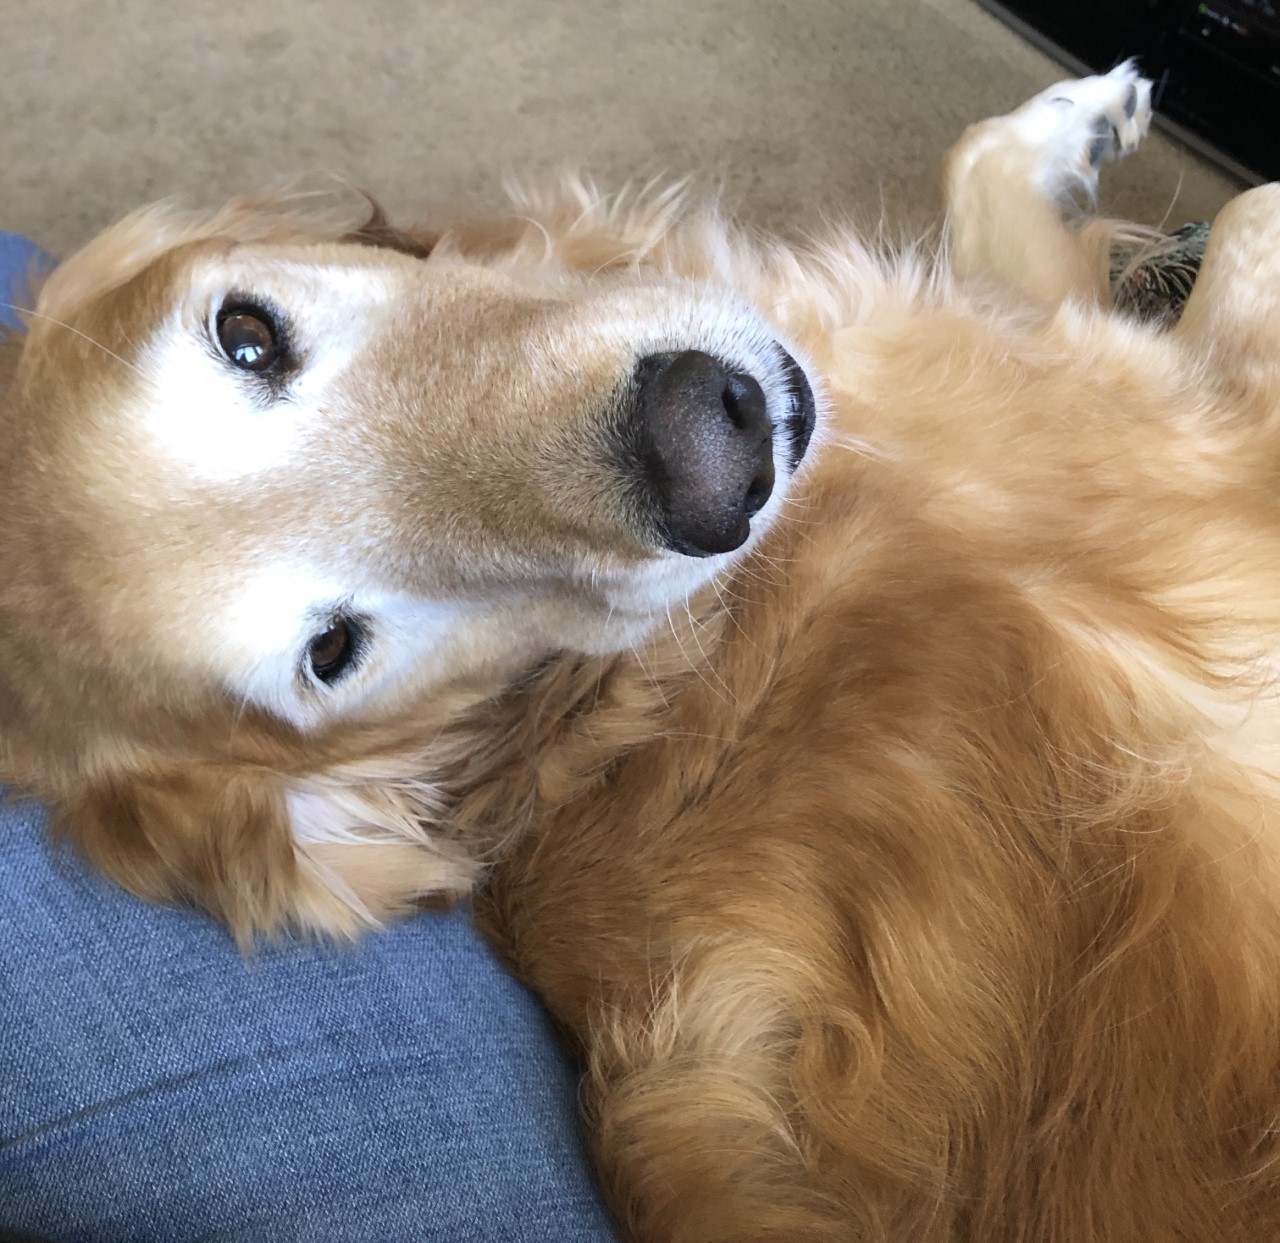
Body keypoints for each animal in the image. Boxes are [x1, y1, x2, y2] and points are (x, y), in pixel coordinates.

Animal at [2, 70, 1280, 1243]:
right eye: (335, 651)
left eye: (247, 333)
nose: (712, 451)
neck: (621, 707)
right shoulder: (1172, 424)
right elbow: (1248, 215)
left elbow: (989, 167)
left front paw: (1075, 123)